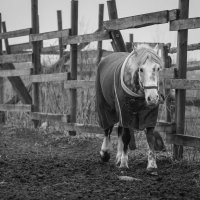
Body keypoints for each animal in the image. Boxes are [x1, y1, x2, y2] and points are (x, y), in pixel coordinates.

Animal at [95, 45, 166, 175]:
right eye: (141, 69)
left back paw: (117, 157)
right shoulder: (124, 112)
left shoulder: (149, 114)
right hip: (104, 105)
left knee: (119, 129)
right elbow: (126, 136)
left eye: (157, 68)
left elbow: (150, 137)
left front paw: (152, 165)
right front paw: (123, 164)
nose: (153, 98)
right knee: (108, 128)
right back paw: (105, 153)